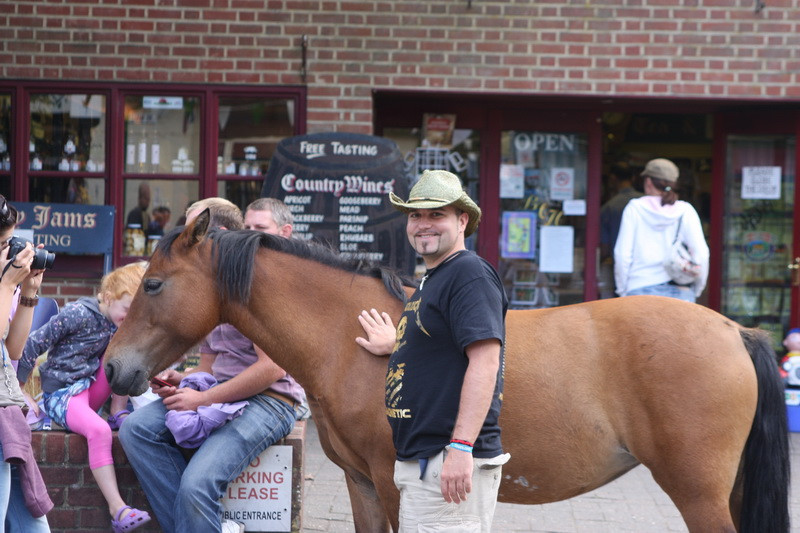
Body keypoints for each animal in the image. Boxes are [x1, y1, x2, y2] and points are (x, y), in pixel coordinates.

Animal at [104, 210, 788, 528]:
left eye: (155, 284)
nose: (114, 369)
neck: (347, 337)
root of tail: (737, 331)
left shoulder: (396, 486)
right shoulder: (361, 485)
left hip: (698, 494)